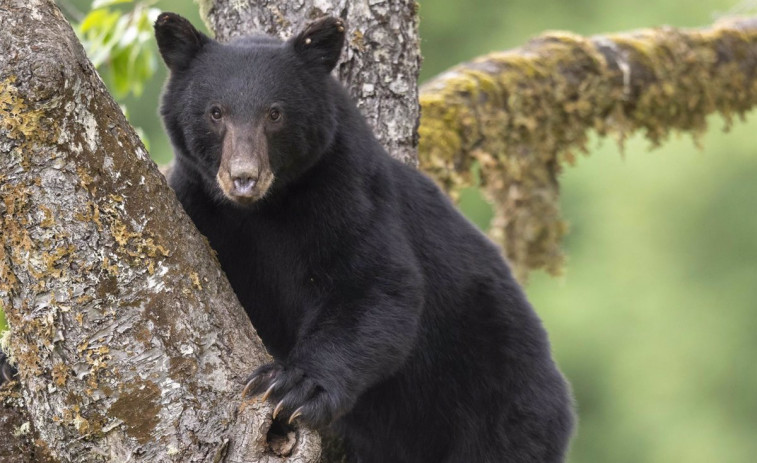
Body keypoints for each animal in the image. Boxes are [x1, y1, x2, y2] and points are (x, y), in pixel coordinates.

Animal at [154, 13, 572, 463]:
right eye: (215, 112)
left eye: (275, 113)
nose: (244, 177)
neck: (264, 210)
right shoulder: (198, 204)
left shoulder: (348, 191)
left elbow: (374, 285)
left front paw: (294, 386)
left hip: (497, 392)